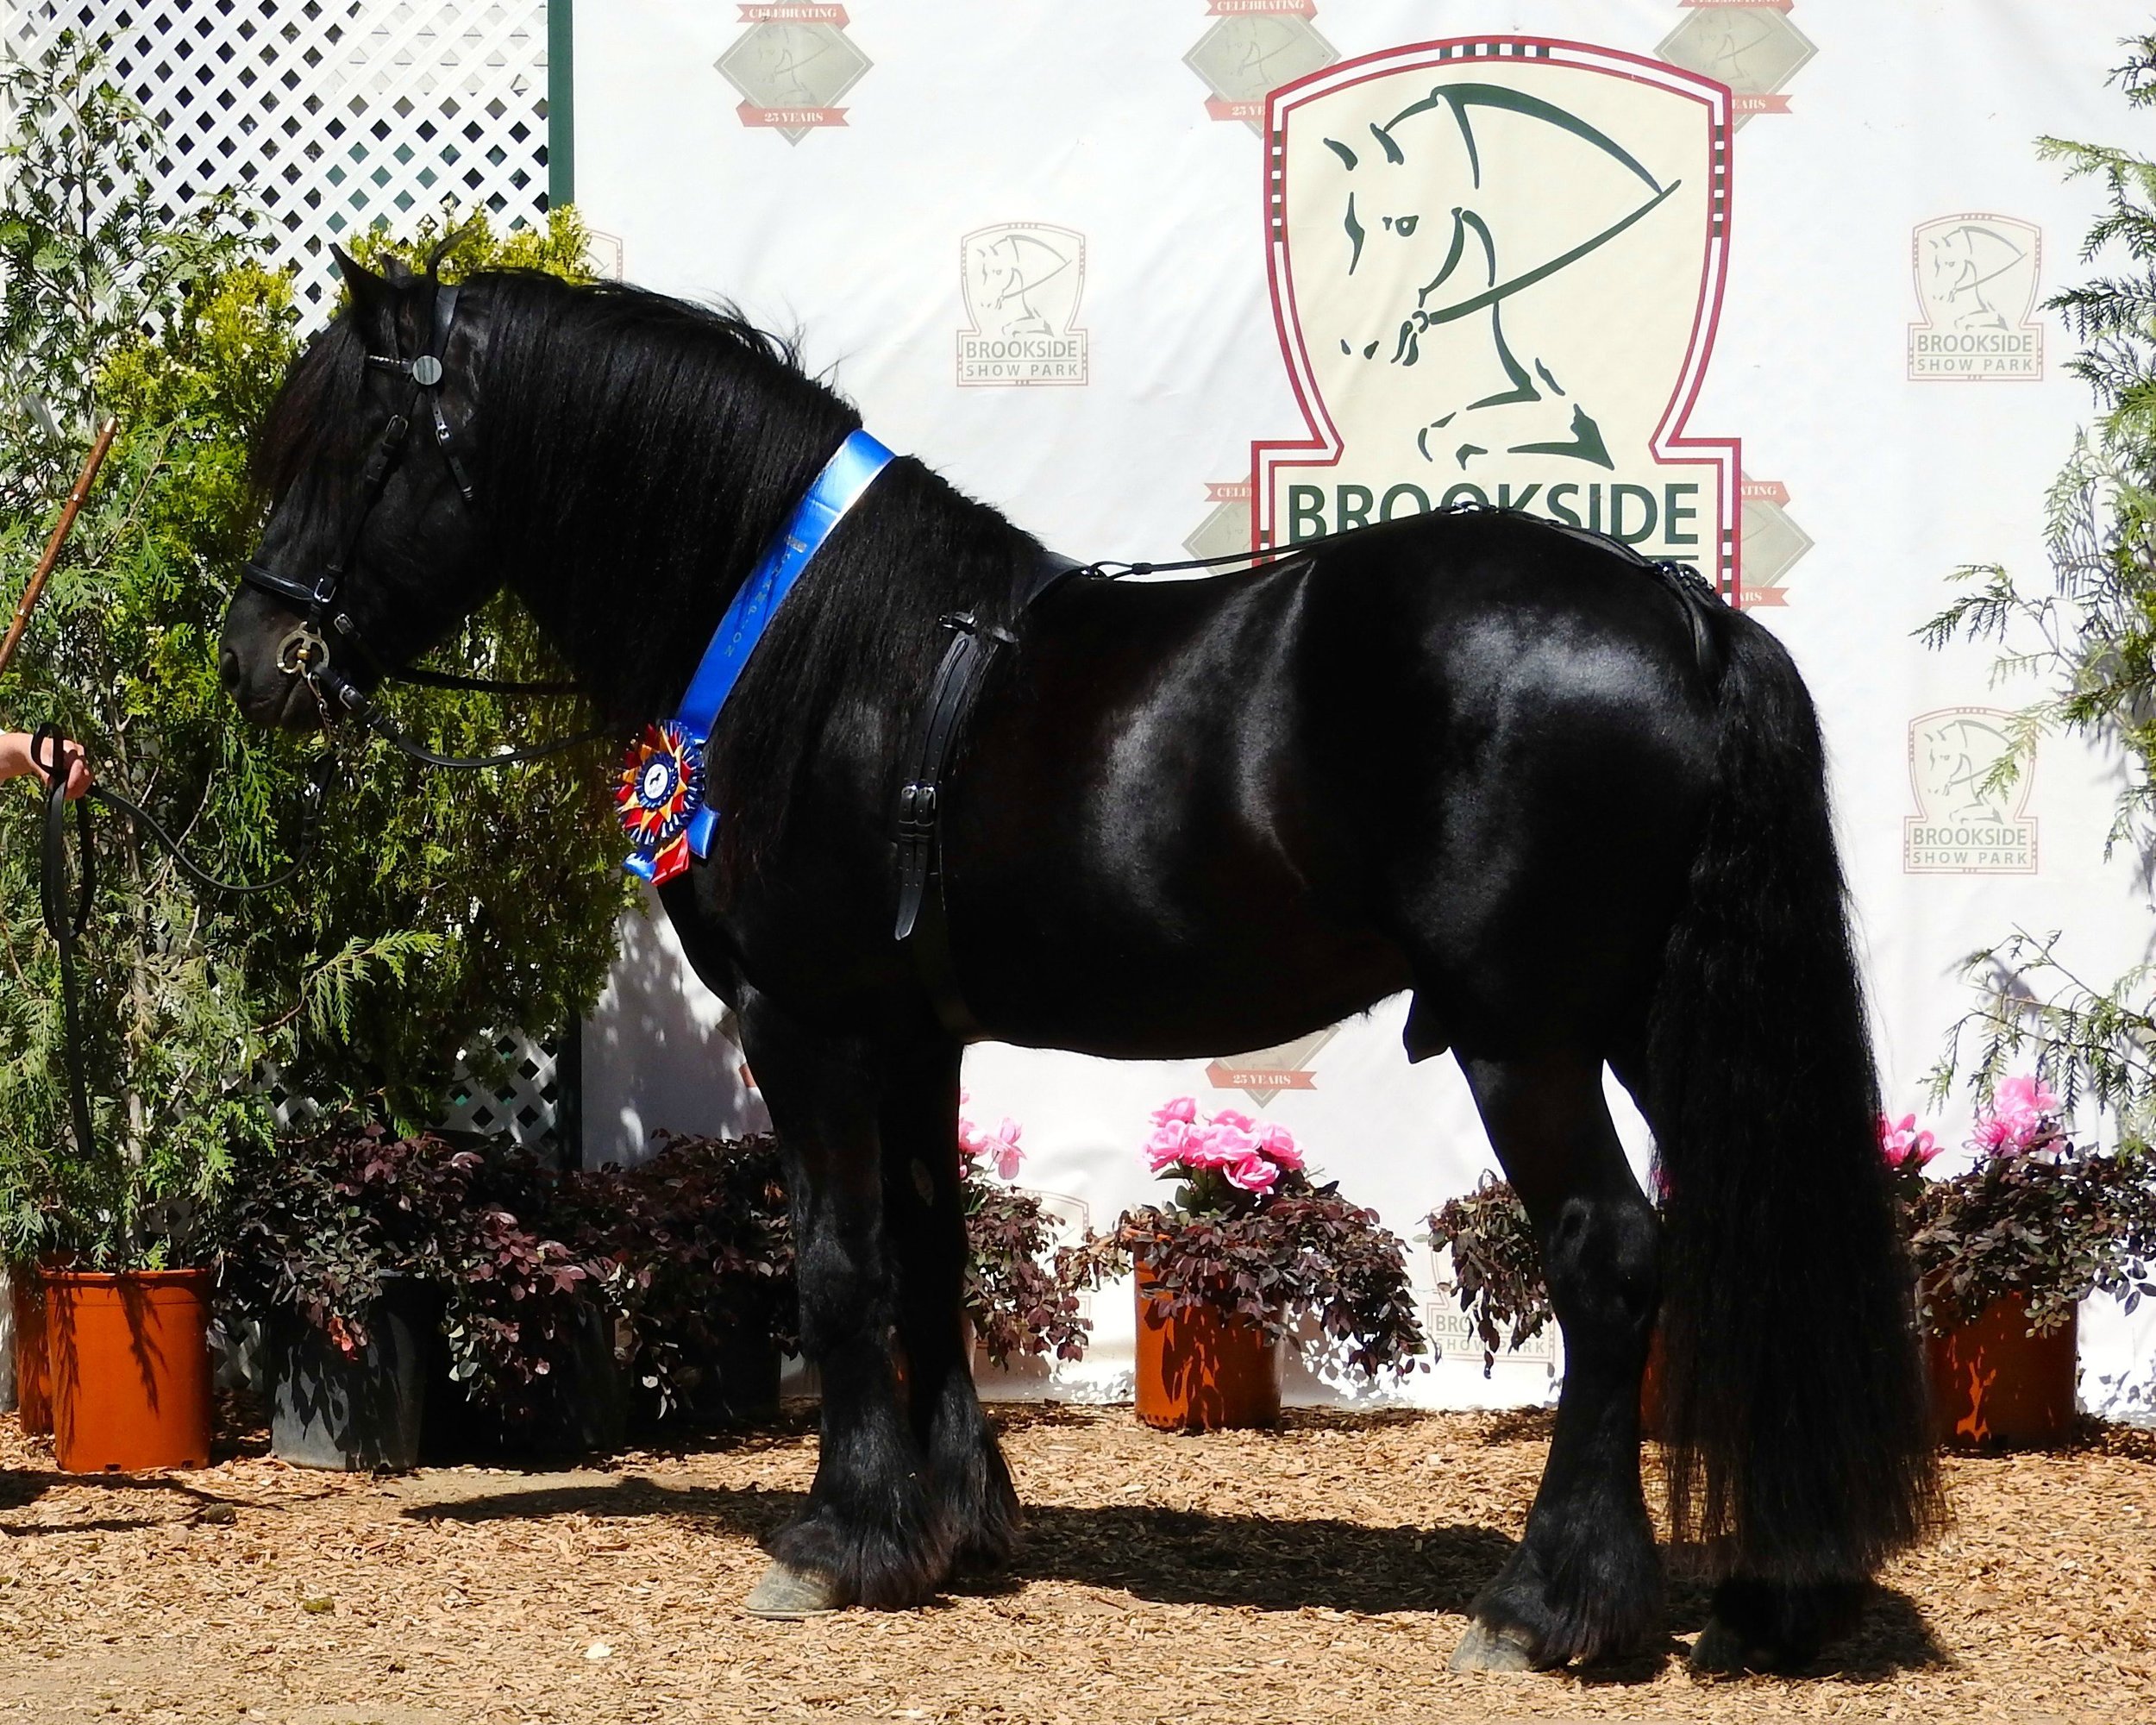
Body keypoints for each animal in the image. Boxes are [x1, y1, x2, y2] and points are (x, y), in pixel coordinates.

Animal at [219, 251, 1939, 1673]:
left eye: (358, 452)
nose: (255, 664)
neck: (805, 654)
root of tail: (1680, 614)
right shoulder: (913, 1036)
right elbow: (927, 1255)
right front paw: (956, 1528)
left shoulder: (807, 1024)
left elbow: (836, 1268)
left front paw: (839, 1540)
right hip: (1651, 1015)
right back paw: (1779, 1593)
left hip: (1528, 1035)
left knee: (1612, 1260)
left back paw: (1551, 1608)